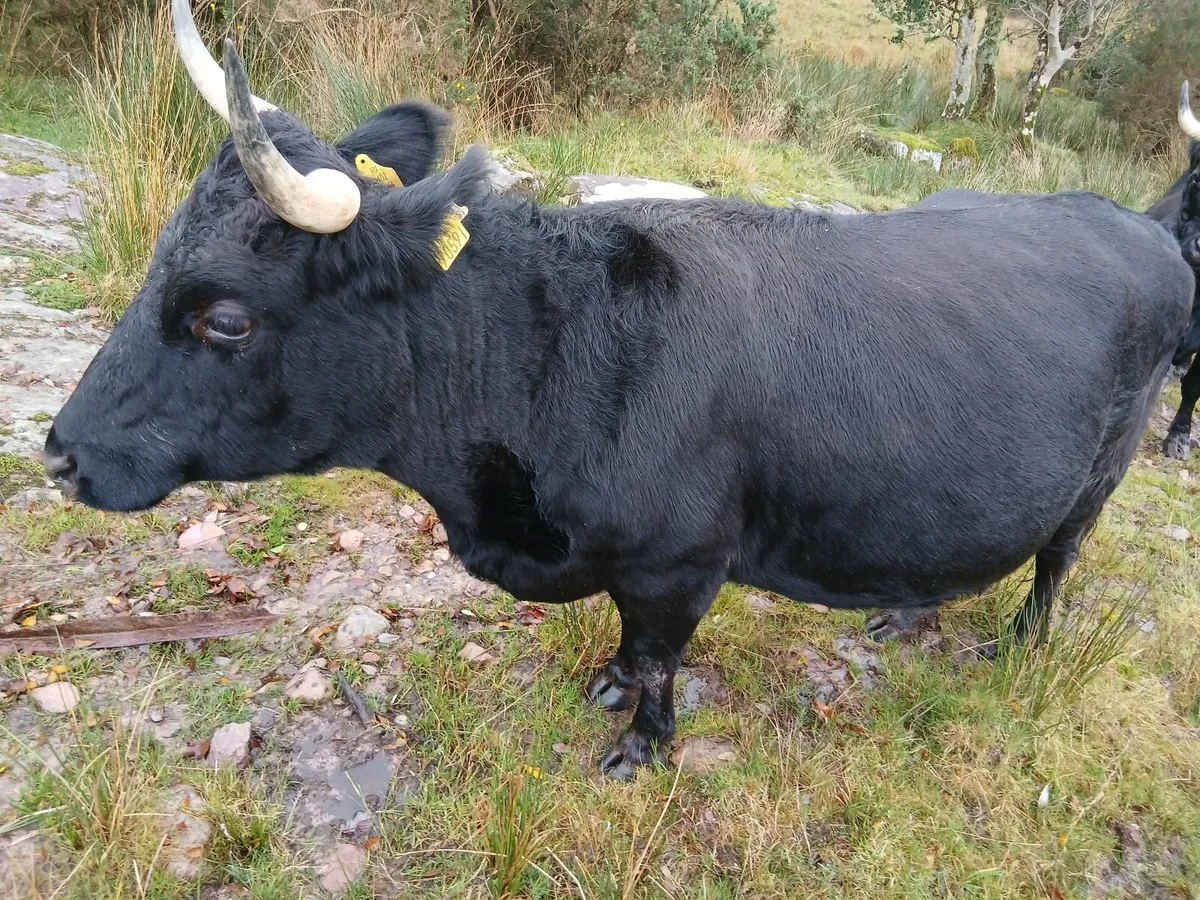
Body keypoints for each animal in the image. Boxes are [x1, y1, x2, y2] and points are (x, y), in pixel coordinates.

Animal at [42, 0, 1195, 779]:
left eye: (225, 317)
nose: (59, 453)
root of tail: (1126, 219)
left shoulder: (682, 562)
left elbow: (659, 660)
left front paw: (642, 744)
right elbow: (628, 651)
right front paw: (606, 682)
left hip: (1104, 471)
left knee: (1056, 563)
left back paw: (1021, 645)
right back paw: (905, 614)